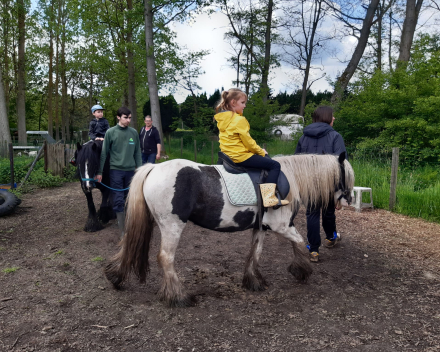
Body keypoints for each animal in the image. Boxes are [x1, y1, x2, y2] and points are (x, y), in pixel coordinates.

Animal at [104, 153, 354, 306]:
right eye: (347, 176)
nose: (349, 199)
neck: (289, 179)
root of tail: (154, 168)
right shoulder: (282, 226)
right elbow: (300, 241)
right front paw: (301, 270)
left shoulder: (262, 227)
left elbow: (255, 253)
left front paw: (253, 281)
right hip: (172, 225)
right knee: (166, 258)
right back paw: (179, 296)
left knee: (130, 246)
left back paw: (116, 276)